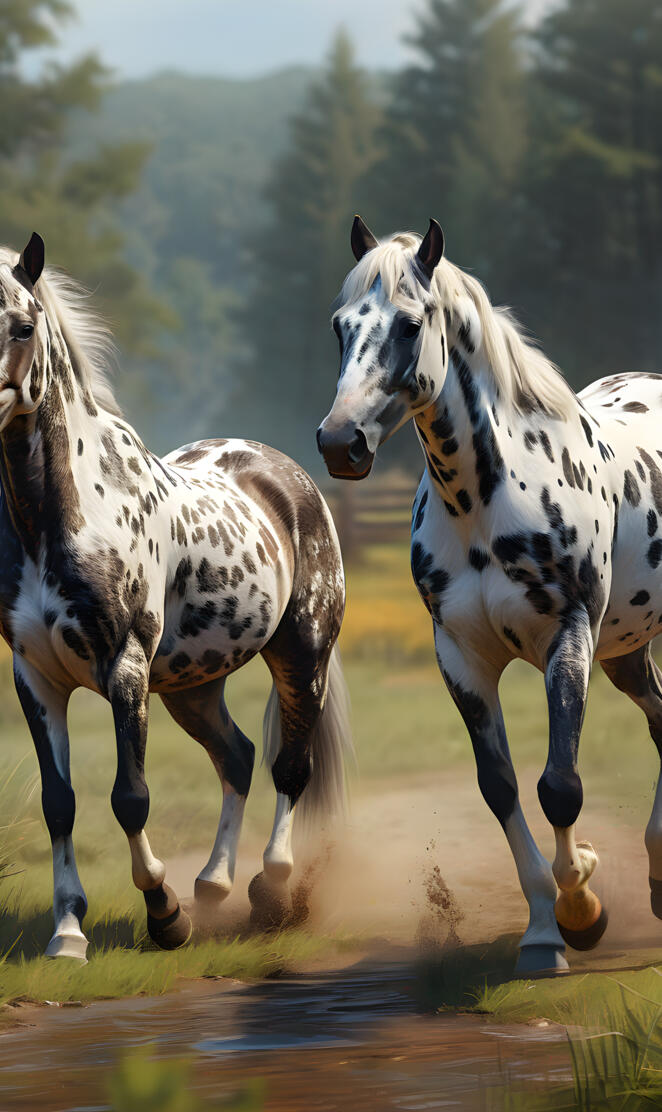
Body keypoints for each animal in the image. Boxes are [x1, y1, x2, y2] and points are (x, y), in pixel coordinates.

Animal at [0, 233, 351, 962]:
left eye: (21, 326)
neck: (60, 520)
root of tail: (290, 475)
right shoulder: (35, 677)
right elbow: (59, 803)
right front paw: (67, 932)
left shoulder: (125, 666)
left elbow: (129, 797)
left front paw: (164, 915)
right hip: (193, 685)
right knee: (238, 758)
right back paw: (214, 884)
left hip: (301, 655)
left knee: (290, 768)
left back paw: (270, 888)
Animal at [318, 214, 662, 975]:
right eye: (339, 325)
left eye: (410, 324)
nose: (339, 443)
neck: (484, 499)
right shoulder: (462, 658)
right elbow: (501, 788)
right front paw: (543, 929)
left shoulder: (569, 638)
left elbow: (559, 787)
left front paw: (582, 907)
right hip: (626, 649)